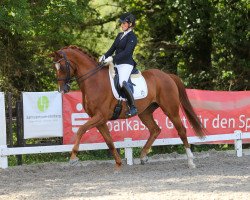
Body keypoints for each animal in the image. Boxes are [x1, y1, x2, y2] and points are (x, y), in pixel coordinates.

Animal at [50, 45, 205, 170]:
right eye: (54, 68)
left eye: (62, 67)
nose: (62, 90)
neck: (94, 82)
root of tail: (167, 75)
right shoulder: (99, 119)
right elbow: (109, 141)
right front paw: (118, 164)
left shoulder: (100, 116)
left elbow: (81, 129)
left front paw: (73, 158)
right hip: (145, 112)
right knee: (155, 129)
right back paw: (143, 156)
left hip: (170, 110)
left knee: (182, 131)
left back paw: (191, 162)